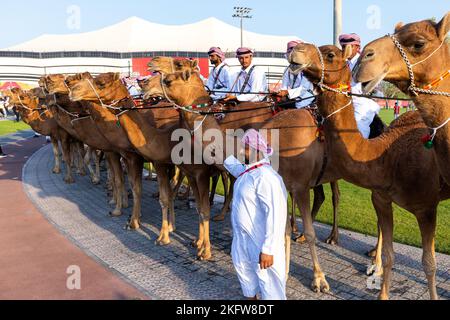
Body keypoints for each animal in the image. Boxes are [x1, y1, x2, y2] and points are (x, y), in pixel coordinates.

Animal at [288, 42, 450, 300]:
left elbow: (429, 264)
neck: (387, 155)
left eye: (330, 54)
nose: (296, 50)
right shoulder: (381, 196)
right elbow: (390, 254)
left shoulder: (426, 208)